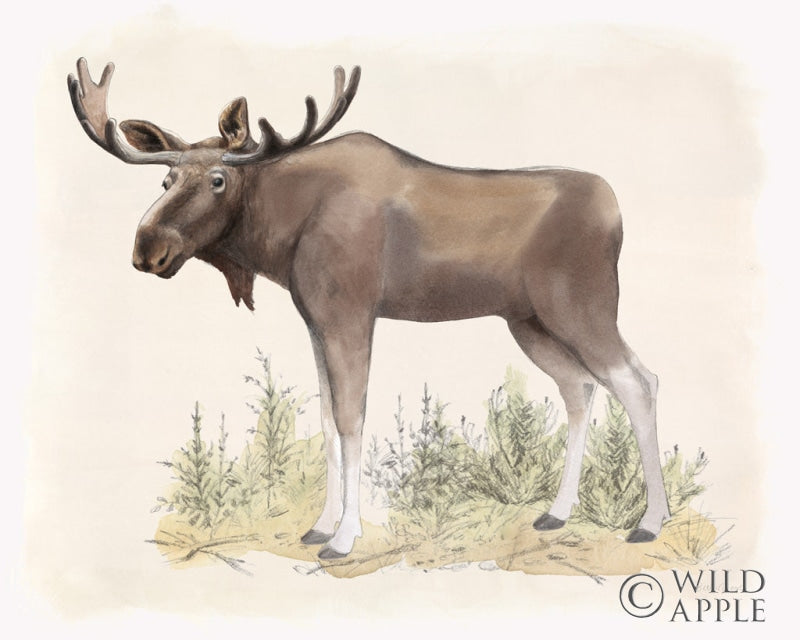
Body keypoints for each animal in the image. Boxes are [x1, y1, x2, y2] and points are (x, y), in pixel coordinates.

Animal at [68, 58, 670, 559]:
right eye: (166, 177)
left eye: (217, 179)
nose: (148, 249)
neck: (281, 233)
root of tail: (615, 209)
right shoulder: (315, 321)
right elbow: (327, 420)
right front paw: (319, 525)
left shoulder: (350, 314)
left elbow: (351, 419)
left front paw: (344, 537)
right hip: (530, 323)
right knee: (580, 387)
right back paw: (557, 512)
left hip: (583, 307)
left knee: (638, 380)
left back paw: (650, 522)